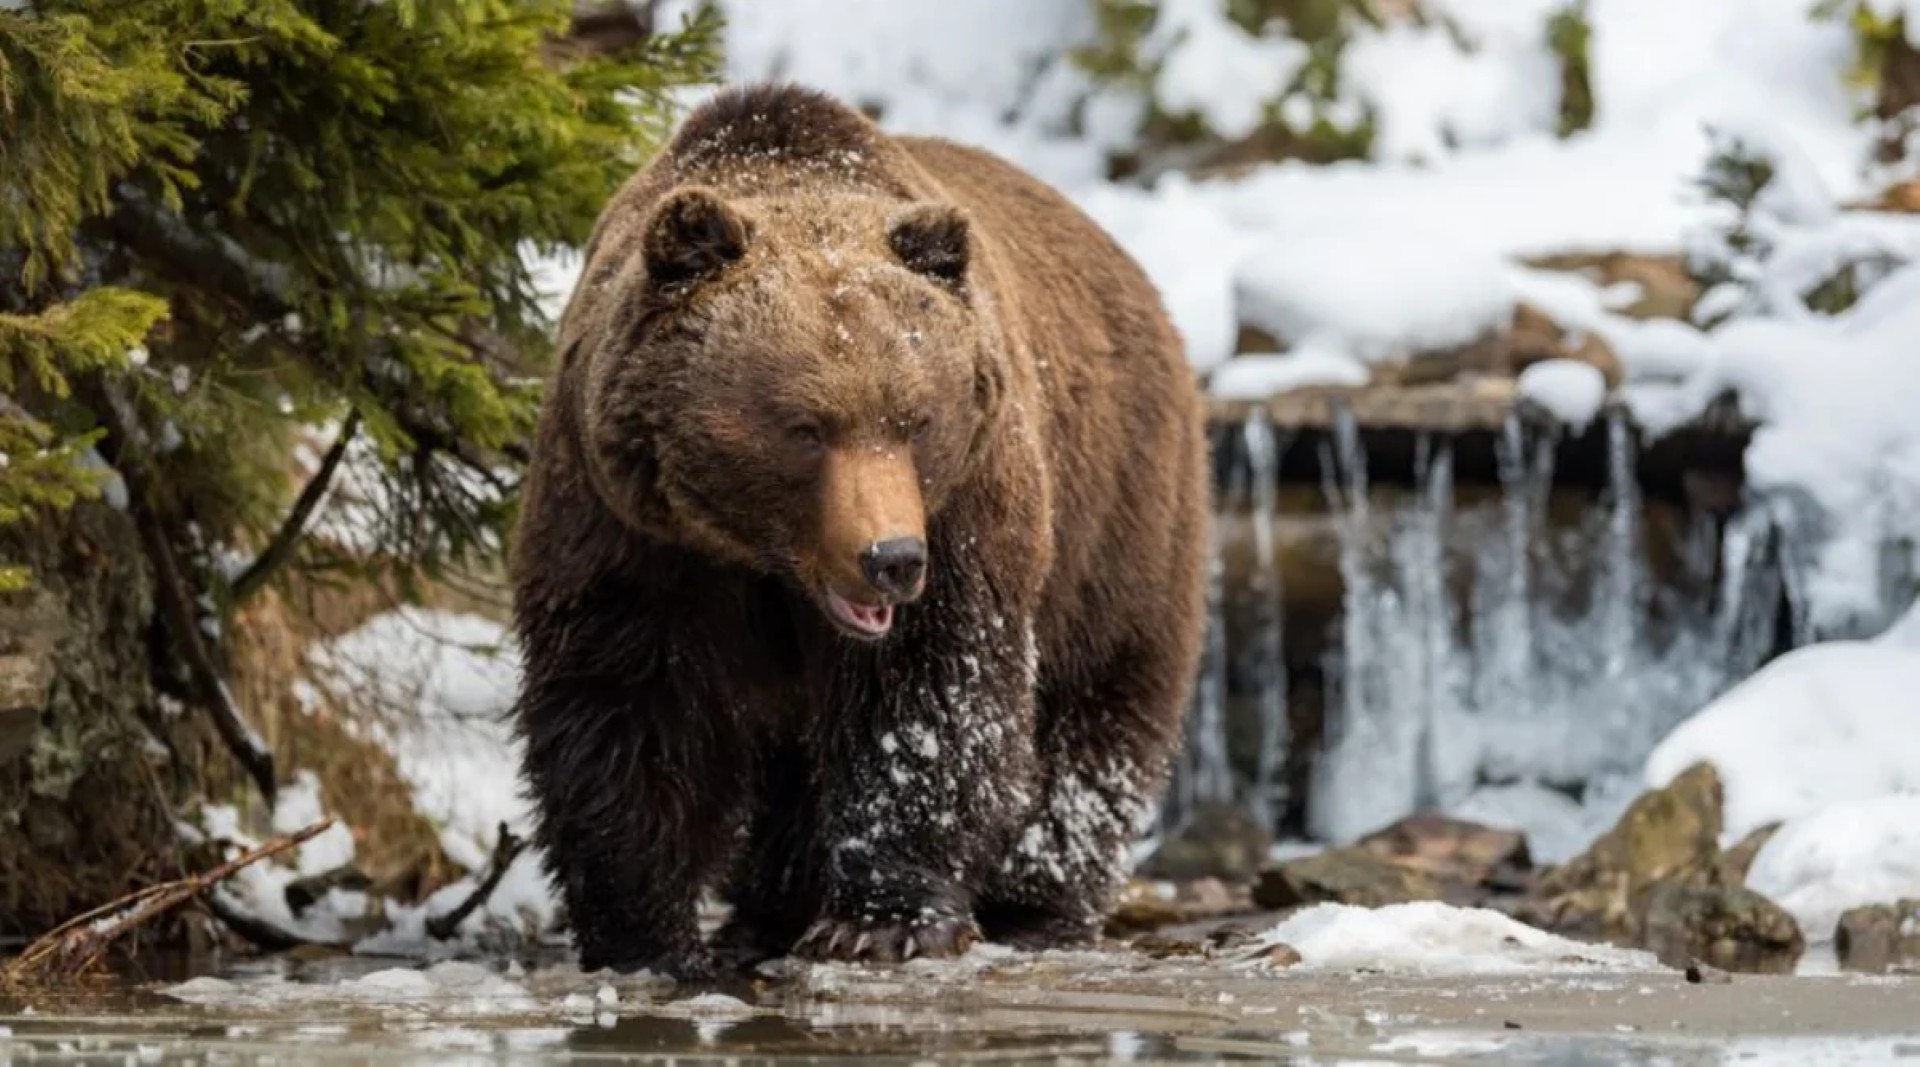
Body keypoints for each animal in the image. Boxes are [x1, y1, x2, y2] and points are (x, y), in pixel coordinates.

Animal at [511, 83, 1210, 979]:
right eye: (805, 427)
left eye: (916, 419)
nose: (891, 559)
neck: (765, 560)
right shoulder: (629, 527)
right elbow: (629, 703)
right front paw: (646, 935)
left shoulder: (966, 511)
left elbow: (927, 698)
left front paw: (883, 919)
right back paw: (768, 910)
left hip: (1119, 510)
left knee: (1094, 710)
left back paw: (1036, 905)